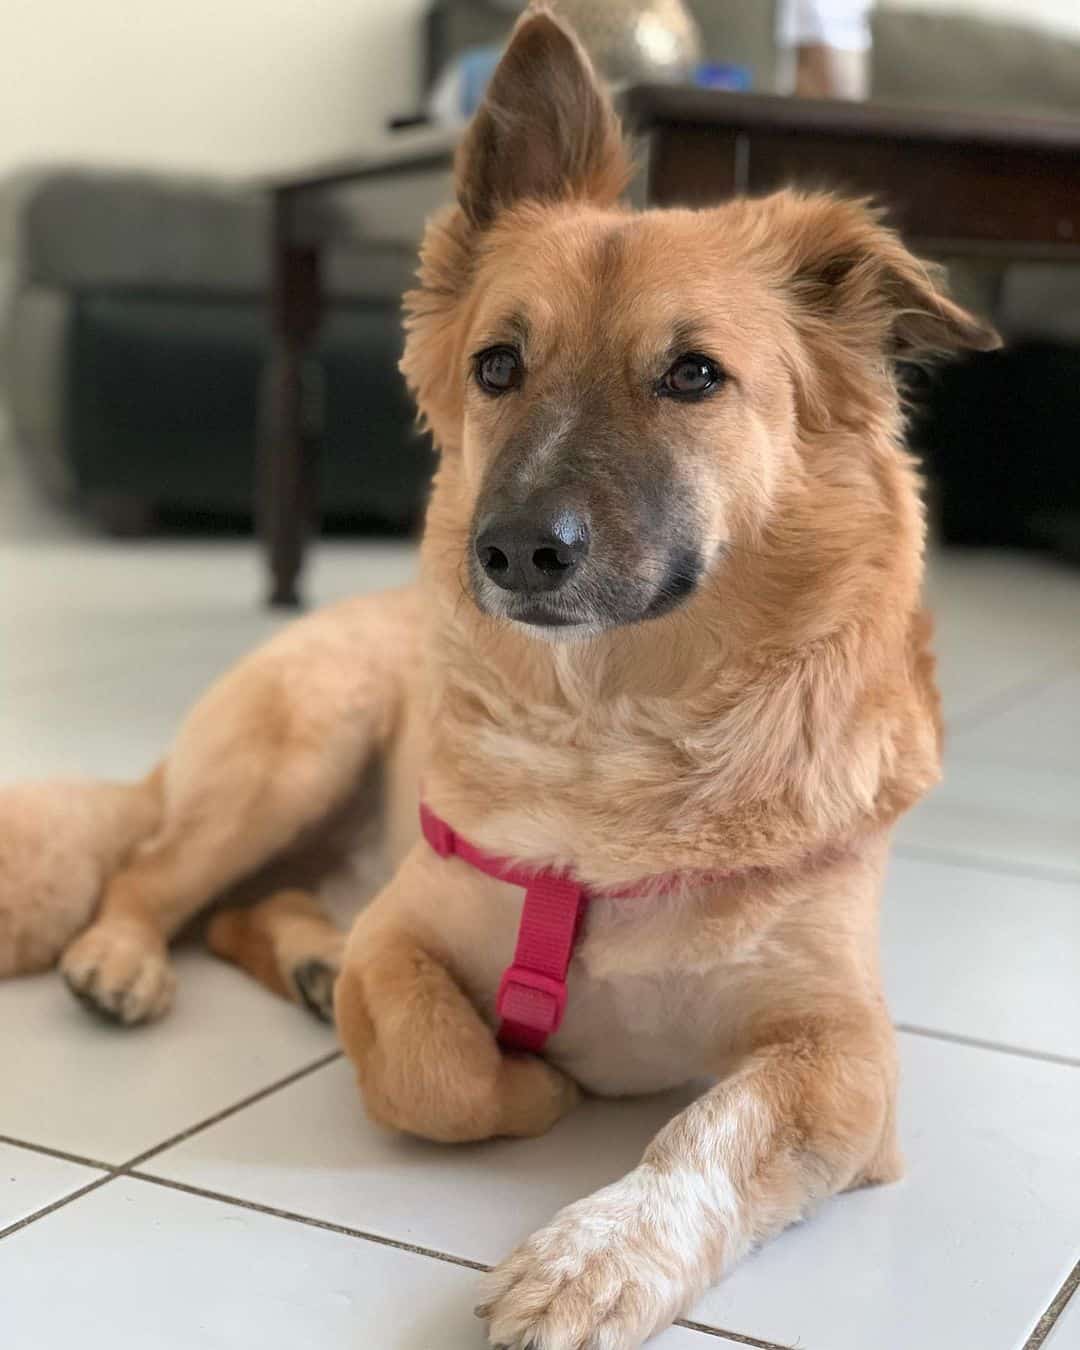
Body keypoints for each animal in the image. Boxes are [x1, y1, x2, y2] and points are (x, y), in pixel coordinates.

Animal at [0, 10, 999, 1350]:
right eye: (497, 366)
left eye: (694, 375)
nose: (514, 551)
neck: (615, 735)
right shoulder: (404, 933)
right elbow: (440, 1068)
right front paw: (535, 1085)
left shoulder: (849, 1060)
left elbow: (712, 1129)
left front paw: (598, 1253)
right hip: (292, 754)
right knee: (156, 876)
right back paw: (129, 957)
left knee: (240, 909)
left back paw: (299, 961)